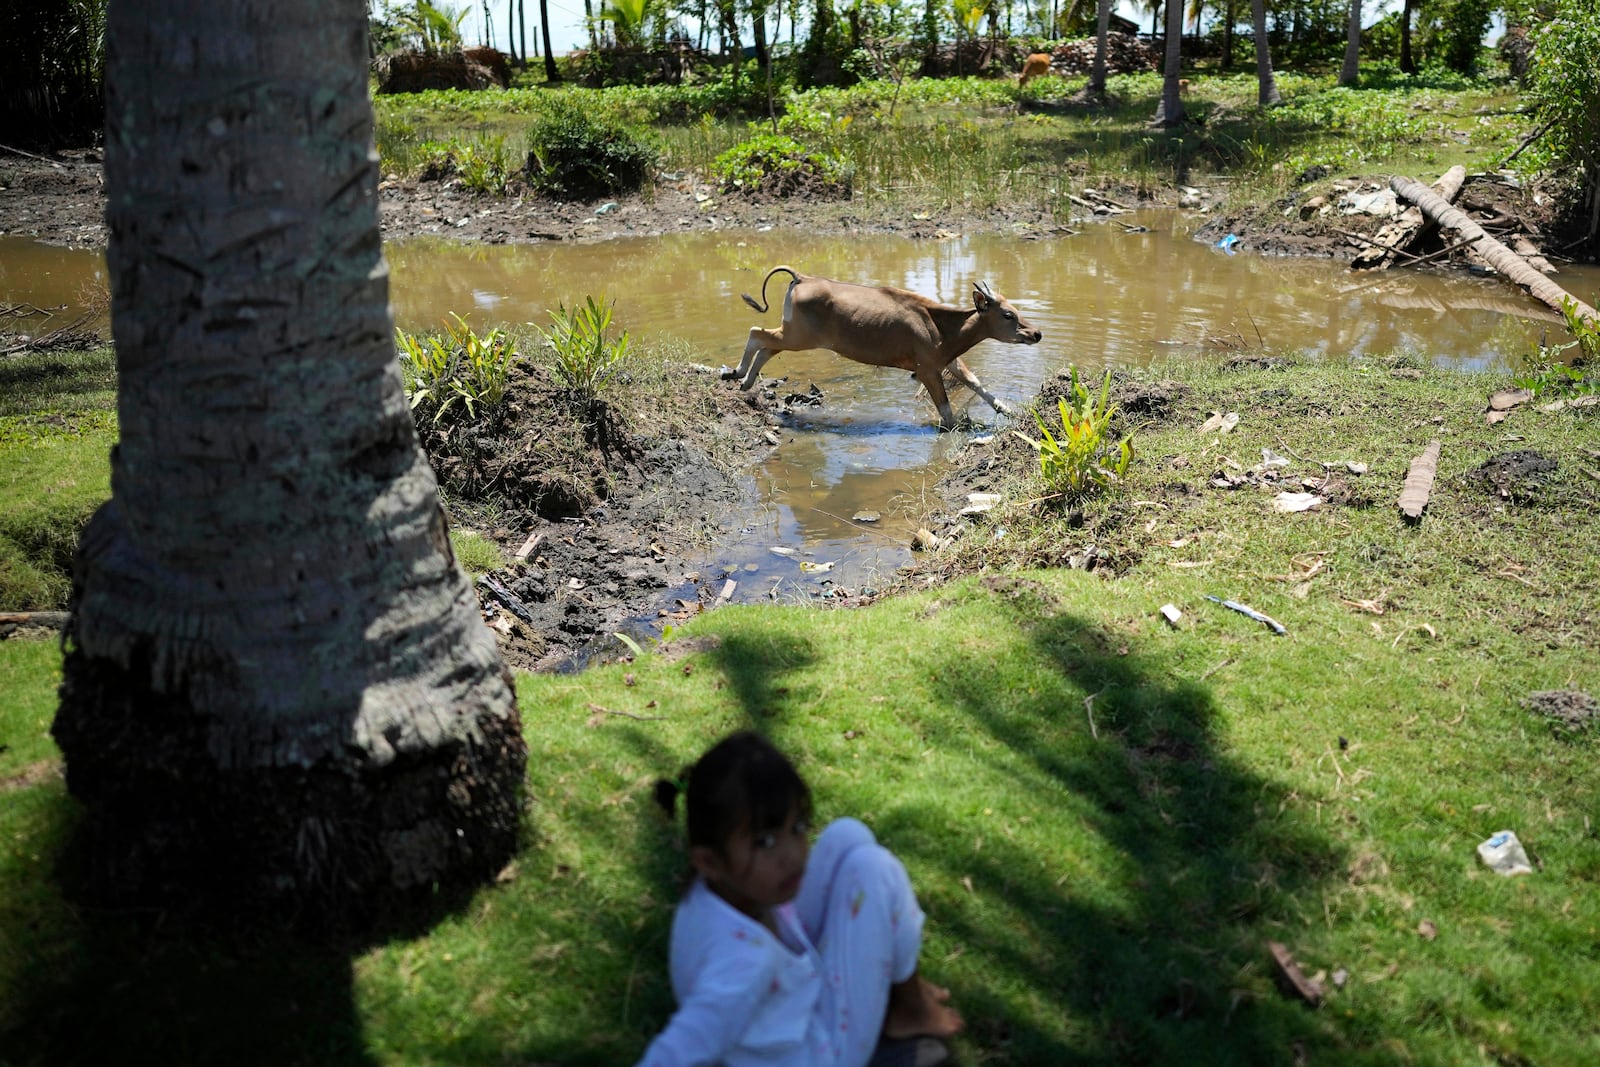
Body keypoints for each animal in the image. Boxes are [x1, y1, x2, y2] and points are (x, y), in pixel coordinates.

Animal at [732, 265, 1043, 431]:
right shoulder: (927, 369)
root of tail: (802, 277)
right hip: (798, 336)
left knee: (767, 345)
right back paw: (736, 373)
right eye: (1008, 315)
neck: (940, 325)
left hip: (792, 335)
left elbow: (975, 382)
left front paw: (1009, 410)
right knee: (757, 334)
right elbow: (945, 409)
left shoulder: (946, 360)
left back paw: (745, 381)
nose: (1036, 333)